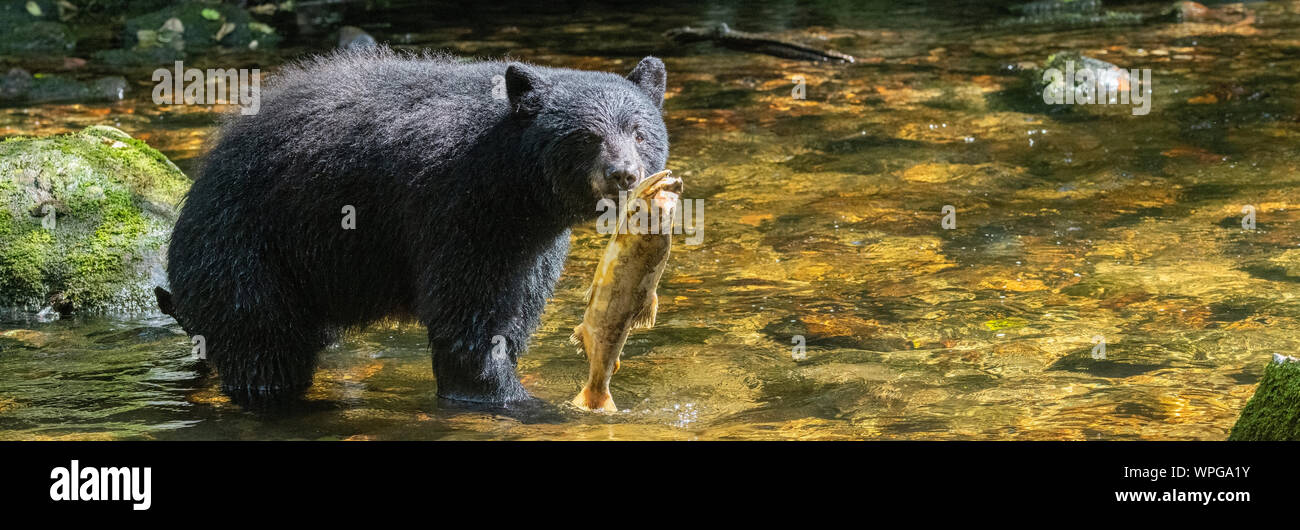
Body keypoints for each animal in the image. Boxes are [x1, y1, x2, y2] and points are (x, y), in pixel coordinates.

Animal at [159, 48, 670, 405]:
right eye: (586, 136)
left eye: (639, 131)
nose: (624, 173)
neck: (515, 183)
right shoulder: (456, 206)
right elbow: (469, 316)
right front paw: (511, 398)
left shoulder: (532, 241)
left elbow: (517, 309)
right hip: (246, 246)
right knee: (260, 337)